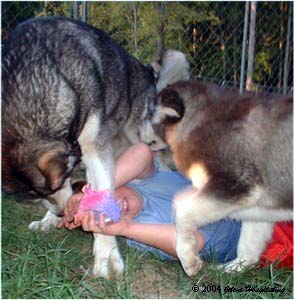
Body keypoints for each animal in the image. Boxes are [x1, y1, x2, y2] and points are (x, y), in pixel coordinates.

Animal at [1, 16, 188, 278]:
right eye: (35, 196)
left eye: (55, 185)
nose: (61, 215)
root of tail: (148, 72)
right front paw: (50, 219)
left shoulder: (94, 149)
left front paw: (105, 256)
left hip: (139, 136)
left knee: (159, 161)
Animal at [145, 80, 294, 276]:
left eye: (149, 114)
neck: (198, 120)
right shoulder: (258, 208)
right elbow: (248, 249)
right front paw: (232, 269)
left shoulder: (235, 187)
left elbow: (182, 212)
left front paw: (189, 259)